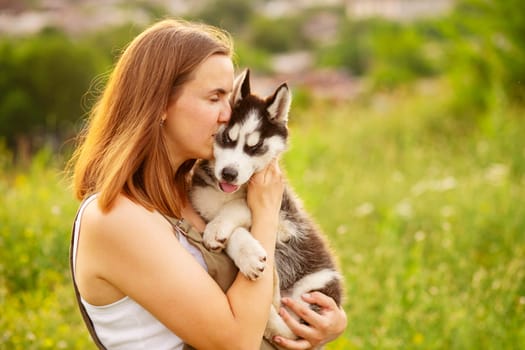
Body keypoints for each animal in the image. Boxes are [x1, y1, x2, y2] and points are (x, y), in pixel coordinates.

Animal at [190, 69, 342, 346]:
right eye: (227, 137)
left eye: (255, 146)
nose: (229, 174)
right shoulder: (203, 201)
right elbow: (233, 227)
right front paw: (247, 254)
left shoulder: (283, 214)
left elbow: (238, 208)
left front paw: (220, 228)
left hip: (317, 286)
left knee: (292, 328)